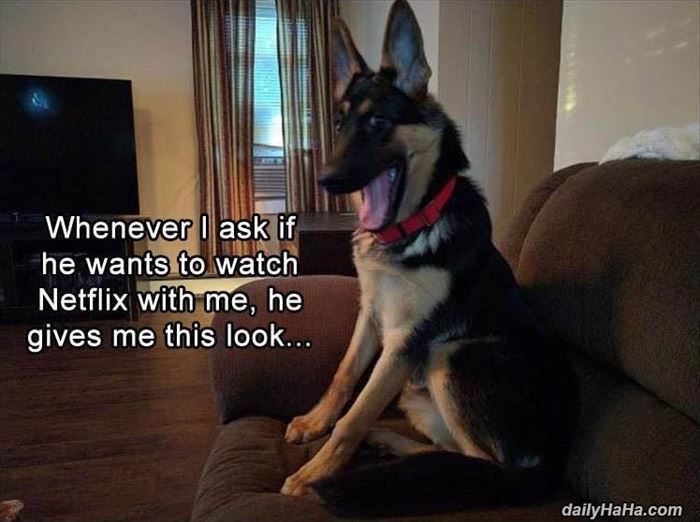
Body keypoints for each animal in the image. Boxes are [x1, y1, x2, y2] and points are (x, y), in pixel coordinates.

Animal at [280, 0, 576, 516]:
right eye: (339, 125)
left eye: (378, 123)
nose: (325, 180)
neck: (412, 230)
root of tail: (554, 463)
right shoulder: (372, 315)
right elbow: (344, 377)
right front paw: (315, 422)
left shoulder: (406, 340)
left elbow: (355, 416)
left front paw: (315, 472)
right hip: (416, 391)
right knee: (449, 450)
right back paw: (389, 443)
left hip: (451, 355)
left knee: (480, 466)